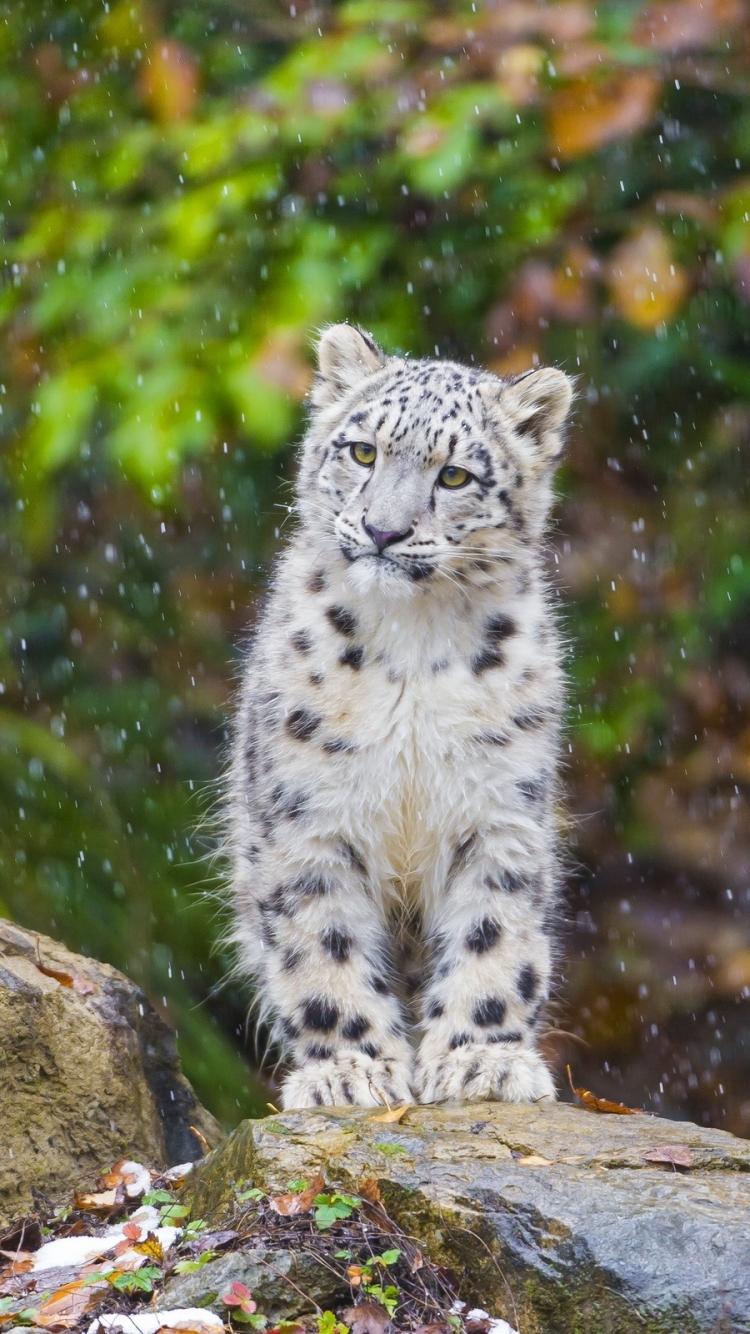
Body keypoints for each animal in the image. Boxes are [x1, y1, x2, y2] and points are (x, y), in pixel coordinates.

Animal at [226, 323, 573, 1109]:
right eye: (363, 452)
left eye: (456, 477)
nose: (383, 530)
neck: (413, 644)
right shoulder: (309, 816)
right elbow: (320, 943)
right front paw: (349, 1069)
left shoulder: (500, 812)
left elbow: (494, 934)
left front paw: (482, 1059)